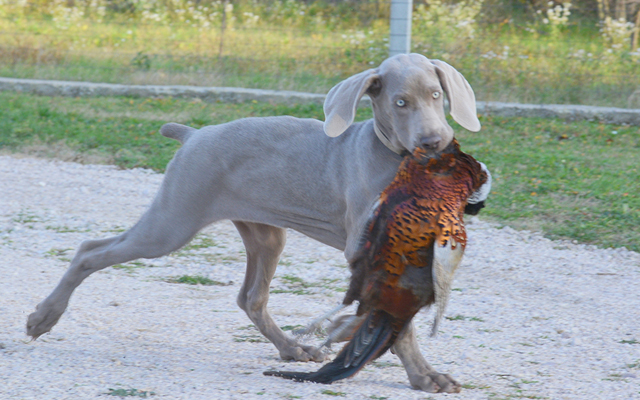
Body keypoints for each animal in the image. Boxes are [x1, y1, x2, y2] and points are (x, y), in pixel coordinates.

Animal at [27, 53, 482, 394]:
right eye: (400, 102)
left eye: (437, 95)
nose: (434, 142)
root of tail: (193, 135)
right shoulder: (371, 249)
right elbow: (398, 323)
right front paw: (424, 376)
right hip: (173, 221)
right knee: (90, 251)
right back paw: (43, 317)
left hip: (265, 235)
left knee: (251, 298)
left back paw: (294, 350)